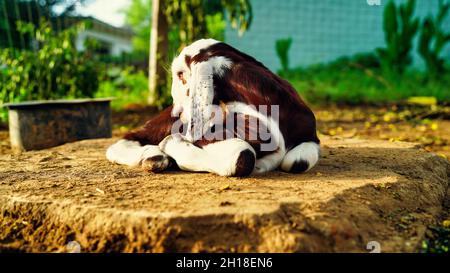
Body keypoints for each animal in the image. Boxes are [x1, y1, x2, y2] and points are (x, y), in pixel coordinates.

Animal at [107, 38, 320, 176]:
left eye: (181, 74)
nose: (176, 107)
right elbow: (243, 155)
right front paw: (170, 144)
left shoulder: (310, 136)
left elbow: (296, 162)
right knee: (124, 141)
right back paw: (153, 156)